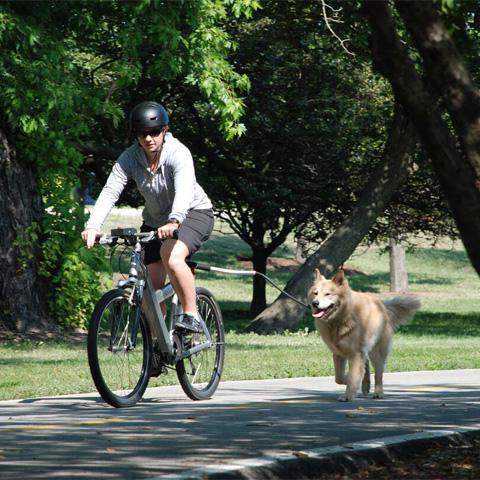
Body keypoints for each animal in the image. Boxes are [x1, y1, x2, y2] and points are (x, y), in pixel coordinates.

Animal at [310, 270, 418, 402]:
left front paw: (348, 395)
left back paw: (378, 393)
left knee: (378, 374)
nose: (315, 303)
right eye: (315, 293)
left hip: (377, 353)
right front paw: (351, 382)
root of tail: (384, 307)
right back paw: (365, 385)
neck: (340, 319)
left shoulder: (355, 353)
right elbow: (339, 378)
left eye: (328, 294)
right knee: (366, 367)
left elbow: (353, 377)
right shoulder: (338, 353)